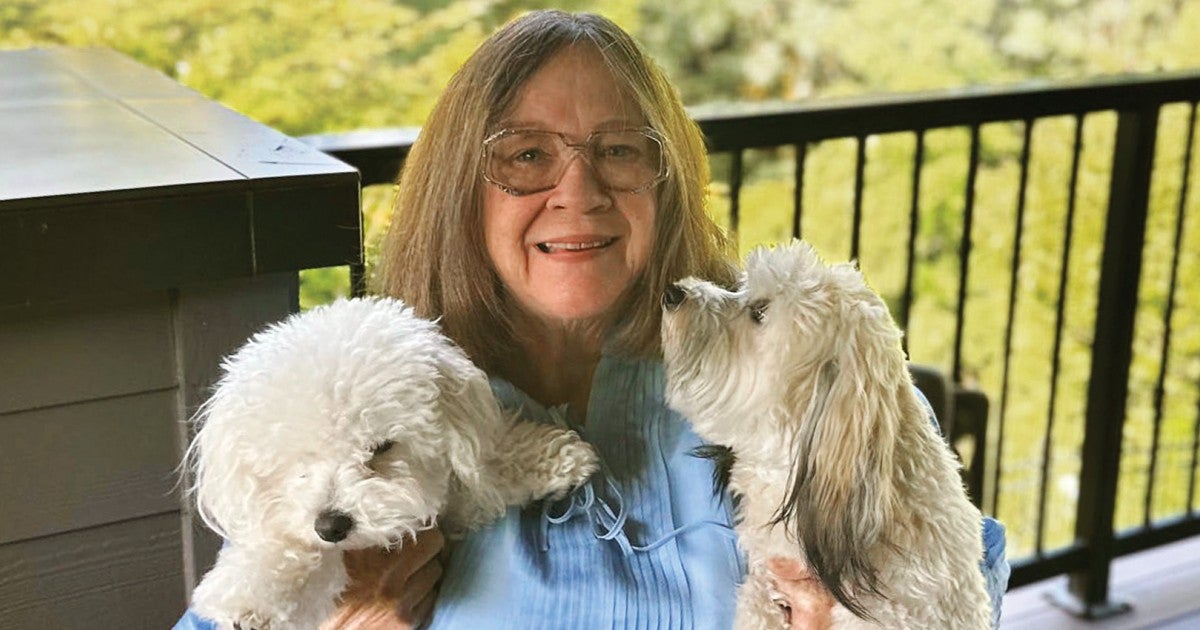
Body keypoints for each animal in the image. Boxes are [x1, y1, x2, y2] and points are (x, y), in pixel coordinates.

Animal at [185, 297, 598, 630]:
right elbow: (284, 547)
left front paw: (554, 457)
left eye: (381, 447)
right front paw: (251, 597)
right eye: (296, 460)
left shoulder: (448, 502)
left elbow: (486, 465)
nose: (331, 525)